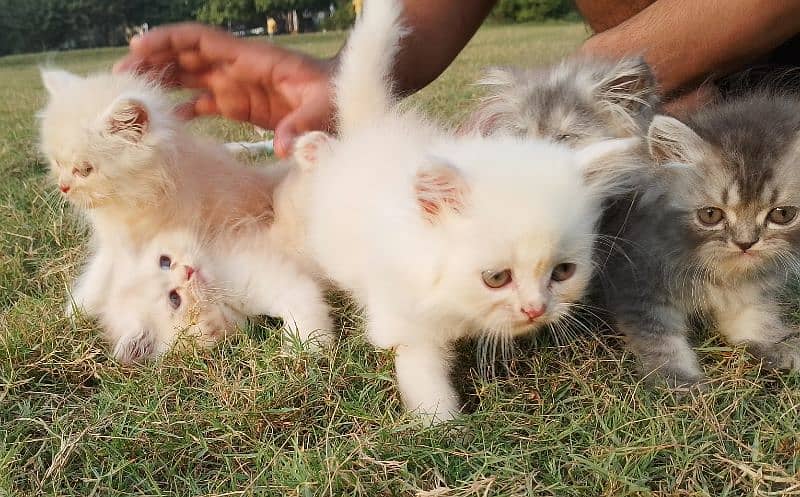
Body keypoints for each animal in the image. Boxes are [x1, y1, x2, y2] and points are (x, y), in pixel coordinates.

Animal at [36, 69, 332, 360]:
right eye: (57, 163)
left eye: (84, 170)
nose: (63, 187)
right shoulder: (116, 243)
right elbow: (100, 275)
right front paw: (77, 310)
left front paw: (306, 347)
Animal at [600, 92, 800, 384]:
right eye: (710, 215)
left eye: (783, 214)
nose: (745, 243)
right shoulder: (637, 285)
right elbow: (661, 340)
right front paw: (679, 381)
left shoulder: (750, 289)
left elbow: (756, 316)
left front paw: (777, 345)